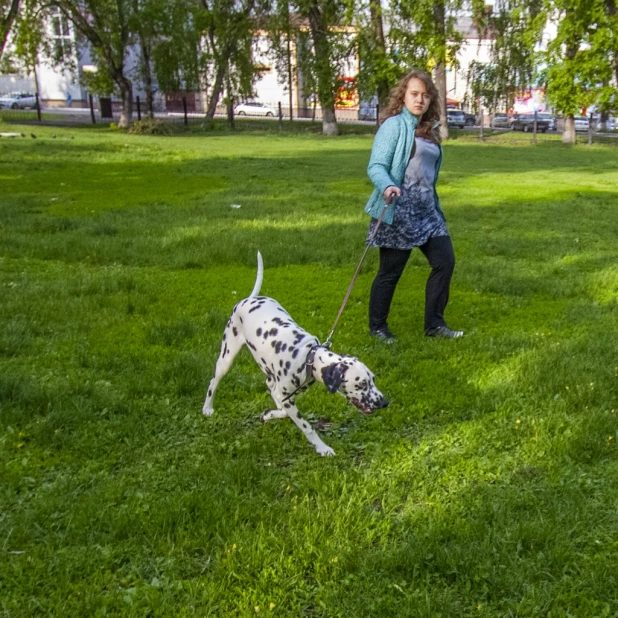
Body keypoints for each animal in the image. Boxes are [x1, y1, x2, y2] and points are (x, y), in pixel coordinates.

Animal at [201, 253, 384, 454]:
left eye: (373, 379)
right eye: (361, 384)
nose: (385, 402)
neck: (308, 357)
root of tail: (249, 299)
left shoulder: (286, 394)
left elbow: (280, 408)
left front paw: (269, 414)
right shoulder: (287, 397)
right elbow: (307, 426)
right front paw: (323, 448)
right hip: (226, 357)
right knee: (213, 382)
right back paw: (207, 408)